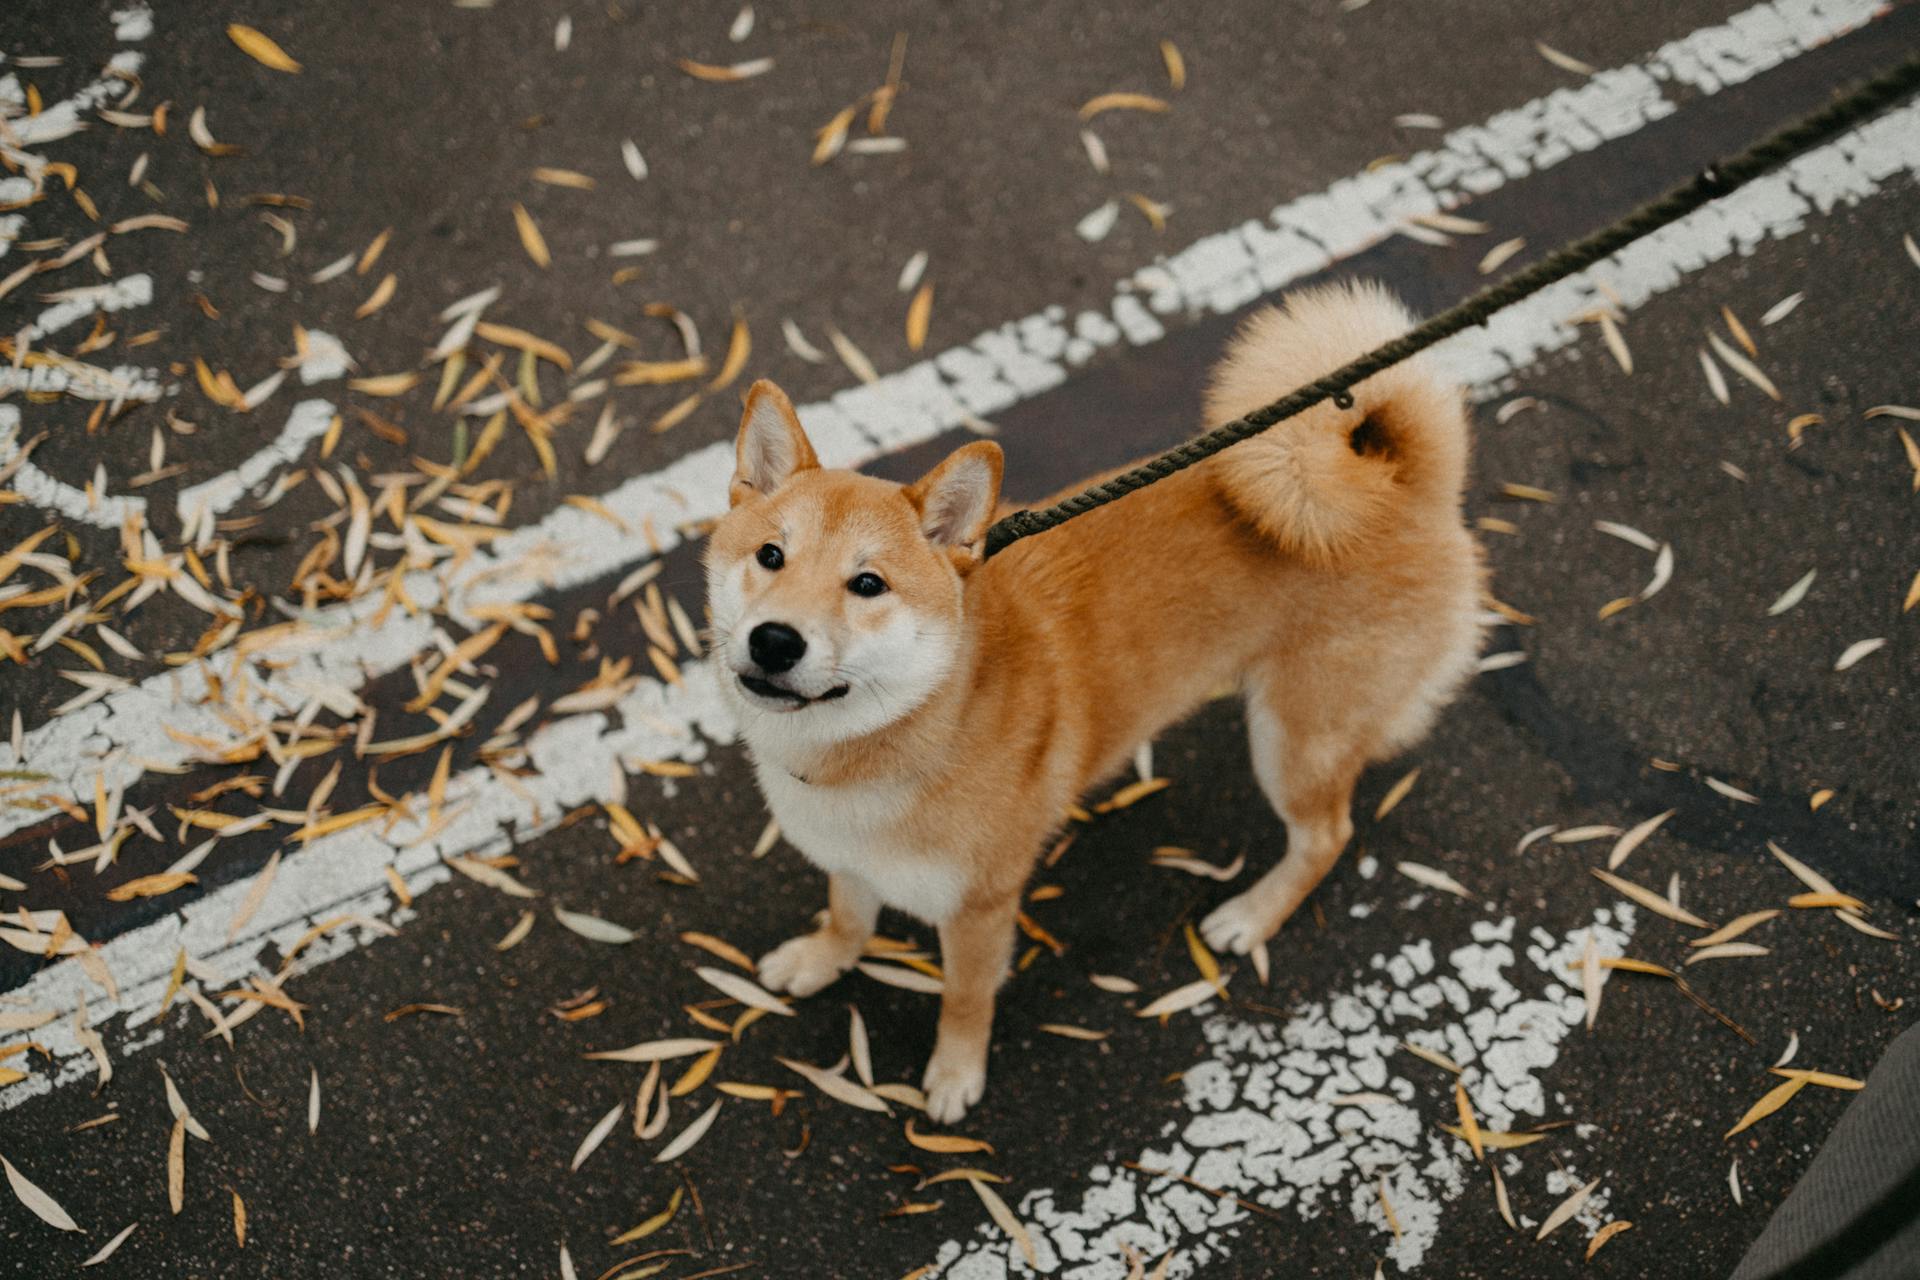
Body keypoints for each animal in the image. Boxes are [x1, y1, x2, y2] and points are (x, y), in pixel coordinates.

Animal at [706, 282, 1482, 1120]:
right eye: (771, 556)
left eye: (868, 584)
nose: (775, 642)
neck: (902, 735)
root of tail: (1402, 487)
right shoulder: (850, 863)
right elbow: (848, 918)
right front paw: (822, 958)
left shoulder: (981, 908)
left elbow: (965, 999)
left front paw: (954, 1073)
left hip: (1294, 742)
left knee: (1326, 837)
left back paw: (1252, 915)